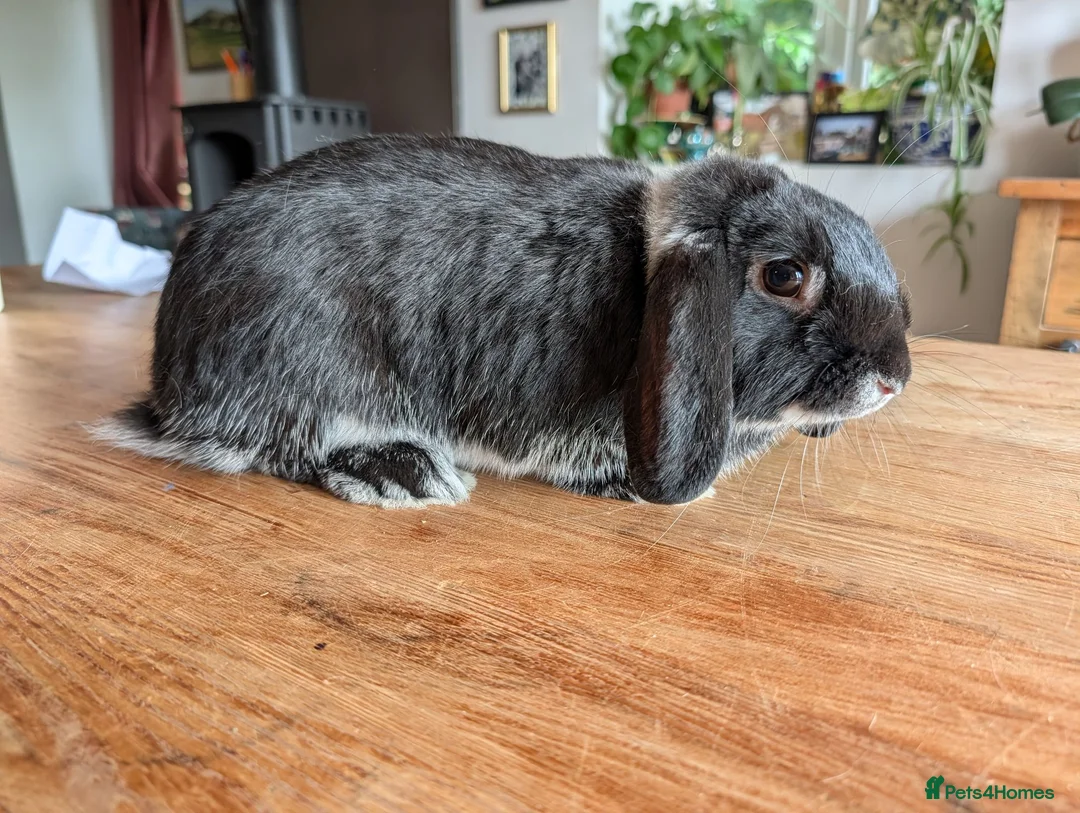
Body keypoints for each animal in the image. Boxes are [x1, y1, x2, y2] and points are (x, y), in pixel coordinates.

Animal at [92, 134, 911, 508]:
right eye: (784, 276)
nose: (895, 379)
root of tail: (170, 395)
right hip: (308, 369)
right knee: (278, 448)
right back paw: (405, 473)